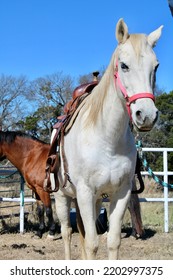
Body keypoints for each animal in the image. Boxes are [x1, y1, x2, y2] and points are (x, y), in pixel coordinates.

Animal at [52, 19, 163, 260]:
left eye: (156, 66)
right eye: (124, 65)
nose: (146, 115)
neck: (108, 140)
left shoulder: (120, 194)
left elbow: (112, 241)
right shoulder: (85, 193)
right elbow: (92, 243)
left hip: (92, 202)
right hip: (63, 197)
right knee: (67, 232)